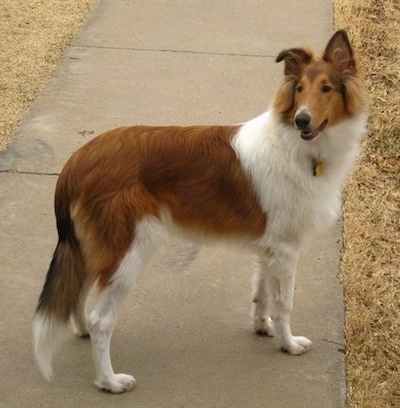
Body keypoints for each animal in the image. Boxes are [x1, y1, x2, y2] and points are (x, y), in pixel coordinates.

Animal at [33, 30, 366, 394]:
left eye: (326, 88)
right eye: (300, 89)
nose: (301, 119)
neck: (293, 144)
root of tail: (77, 160)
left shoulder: (269, 247)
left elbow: (261, 292)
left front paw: (263, 327)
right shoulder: (285, 248)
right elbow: (284, 302)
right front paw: (288, 344)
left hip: (93, 248)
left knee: (78, 294)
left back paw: (82, 332)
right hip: (129, 250)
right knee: (101, 319)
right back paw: (110, 380)